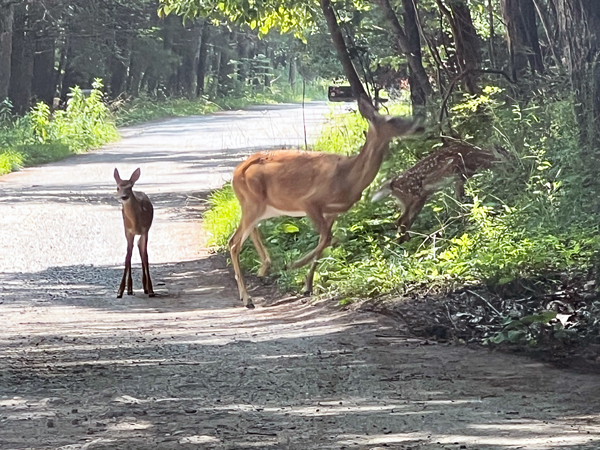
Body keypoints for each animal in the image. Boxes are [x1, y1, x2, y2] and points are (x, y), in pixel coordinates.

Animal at [113, 167, 155, 298]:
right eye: (118, 187)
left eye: (130, 187)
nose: (124, 197)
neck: (136, 223)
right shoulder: (128, 231)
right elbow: (127, 257)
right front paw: (120, 291)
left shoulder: (145, 230)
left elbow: (145, 256)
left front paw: (151, 289)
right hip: (126, 230)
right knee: (132, 251)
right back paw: (130, 289)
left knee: (140, 248)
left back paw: (144, 287)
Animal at [229, 93, 422, 308]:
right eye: (393, 120)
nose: (419, 126)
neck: (348, 177)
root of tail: (237, 173)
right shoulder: (310, 202)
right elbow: (329, 239)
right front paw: (293, 265)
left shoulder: (332, 212)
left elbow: (325, 240)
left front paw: (307, 286)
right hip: (252, 203)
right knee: (233, 243)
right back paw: (248, 298)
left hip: (260, 207)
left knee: (249, 233)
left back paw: (261, 272)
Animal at [372, 139, 504, 241]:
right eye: (506, 154)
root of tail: (391, 185)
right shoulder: (459, 174)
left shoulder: (457, 180)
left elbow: (459, 200)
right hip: (414, 198)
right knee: (401, 221)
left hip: (408, 201)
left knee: (403, 221)